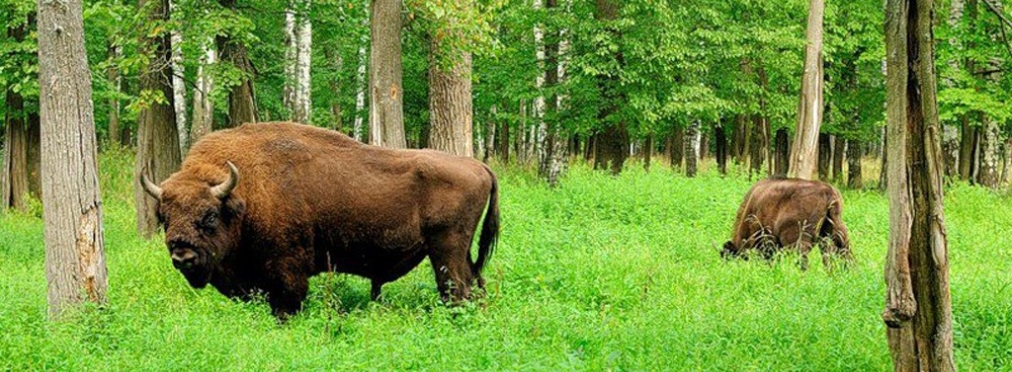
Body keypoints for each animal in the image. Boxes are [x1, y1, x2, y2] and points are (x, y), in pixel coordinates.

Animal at [143, 122, 501, 317]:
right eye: (164, 217)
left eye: (209, 215)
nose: (182, 255)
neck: (244, 192)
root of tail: (479, 166)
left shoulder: (287, 272)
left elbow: (287, 304)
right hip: (459, 252)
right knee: (476, 285)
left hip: (446, 250)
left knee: (457, 290)